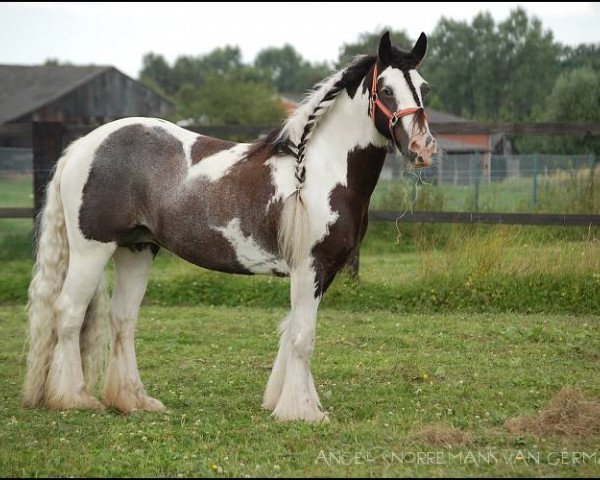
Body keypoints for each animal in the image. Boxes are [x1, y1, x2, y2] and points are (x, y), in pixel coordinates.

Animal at [23, 31, 436, 420]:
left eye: (424, 87)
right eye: (386, 89)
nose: (423, 148)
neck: (316, 171)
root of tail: (81, 147)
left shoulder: (323, 270)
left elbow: (291, 331)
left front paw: (285, 401)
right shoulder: (310, 267)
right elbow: (303, 336)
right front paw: (301, 412)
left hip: (136, 248)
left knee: (122, 319)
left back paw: (133, 400)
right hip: (92, 249)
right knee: (69, 313)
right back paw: (74, 398)